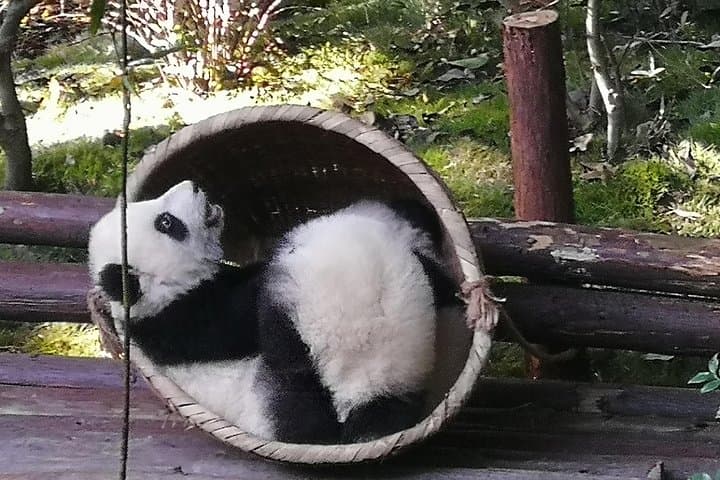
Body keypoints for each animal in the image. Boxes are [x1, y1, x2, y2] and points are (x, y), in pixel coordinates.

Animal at [88, 179, 462, 444]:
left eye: (153, 209)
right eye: (166, 222)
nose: (193, 185)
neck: (160, 292)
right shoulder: (185, 322)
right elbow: (239, 319)